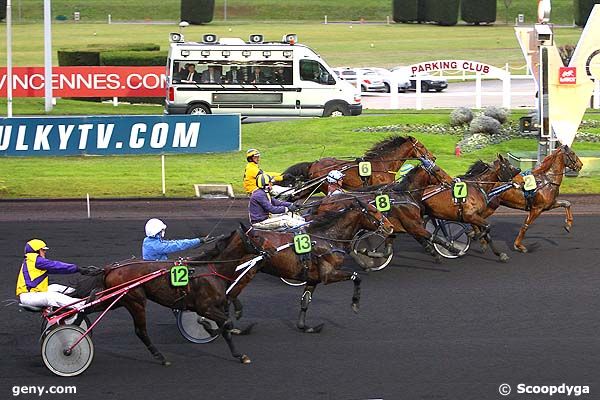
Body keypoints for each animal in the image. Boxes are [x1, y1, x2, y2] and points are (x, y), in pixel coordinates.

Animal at [278, 135, 434, 199]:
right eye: (421, 146)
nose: (433, 157)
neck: (382, 164)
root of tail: (313, 164)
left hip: (313, 187)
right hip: (324, 186)